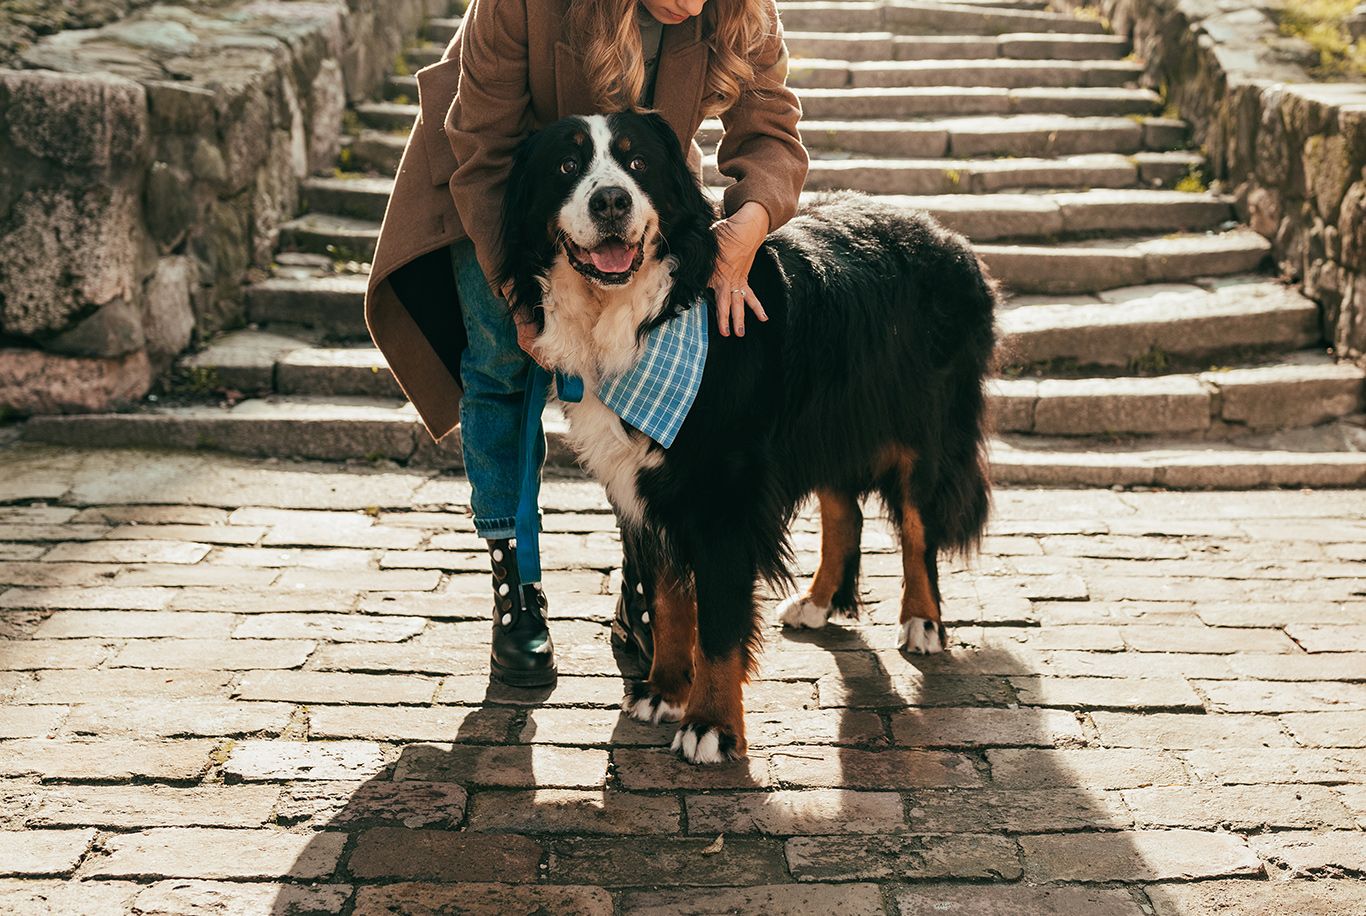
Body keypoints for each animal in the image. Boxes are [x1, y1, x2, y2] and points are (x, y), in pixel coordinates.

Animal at [497, 111, 999, 764]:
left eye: (637, 163)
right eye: (566, 165)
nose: (610, 201)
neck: (647, 315)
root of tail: (949, 238)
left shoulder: (722, 493)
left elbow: (718, 620)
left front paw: (710, 725)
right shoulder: (645, 486)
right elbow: (669, 599)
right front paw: (663, 690)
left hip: (921, 426)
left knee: (917, 527)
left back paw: (922, 622)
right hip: (824, 423)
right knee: (844, 511)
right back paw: (817, 602)